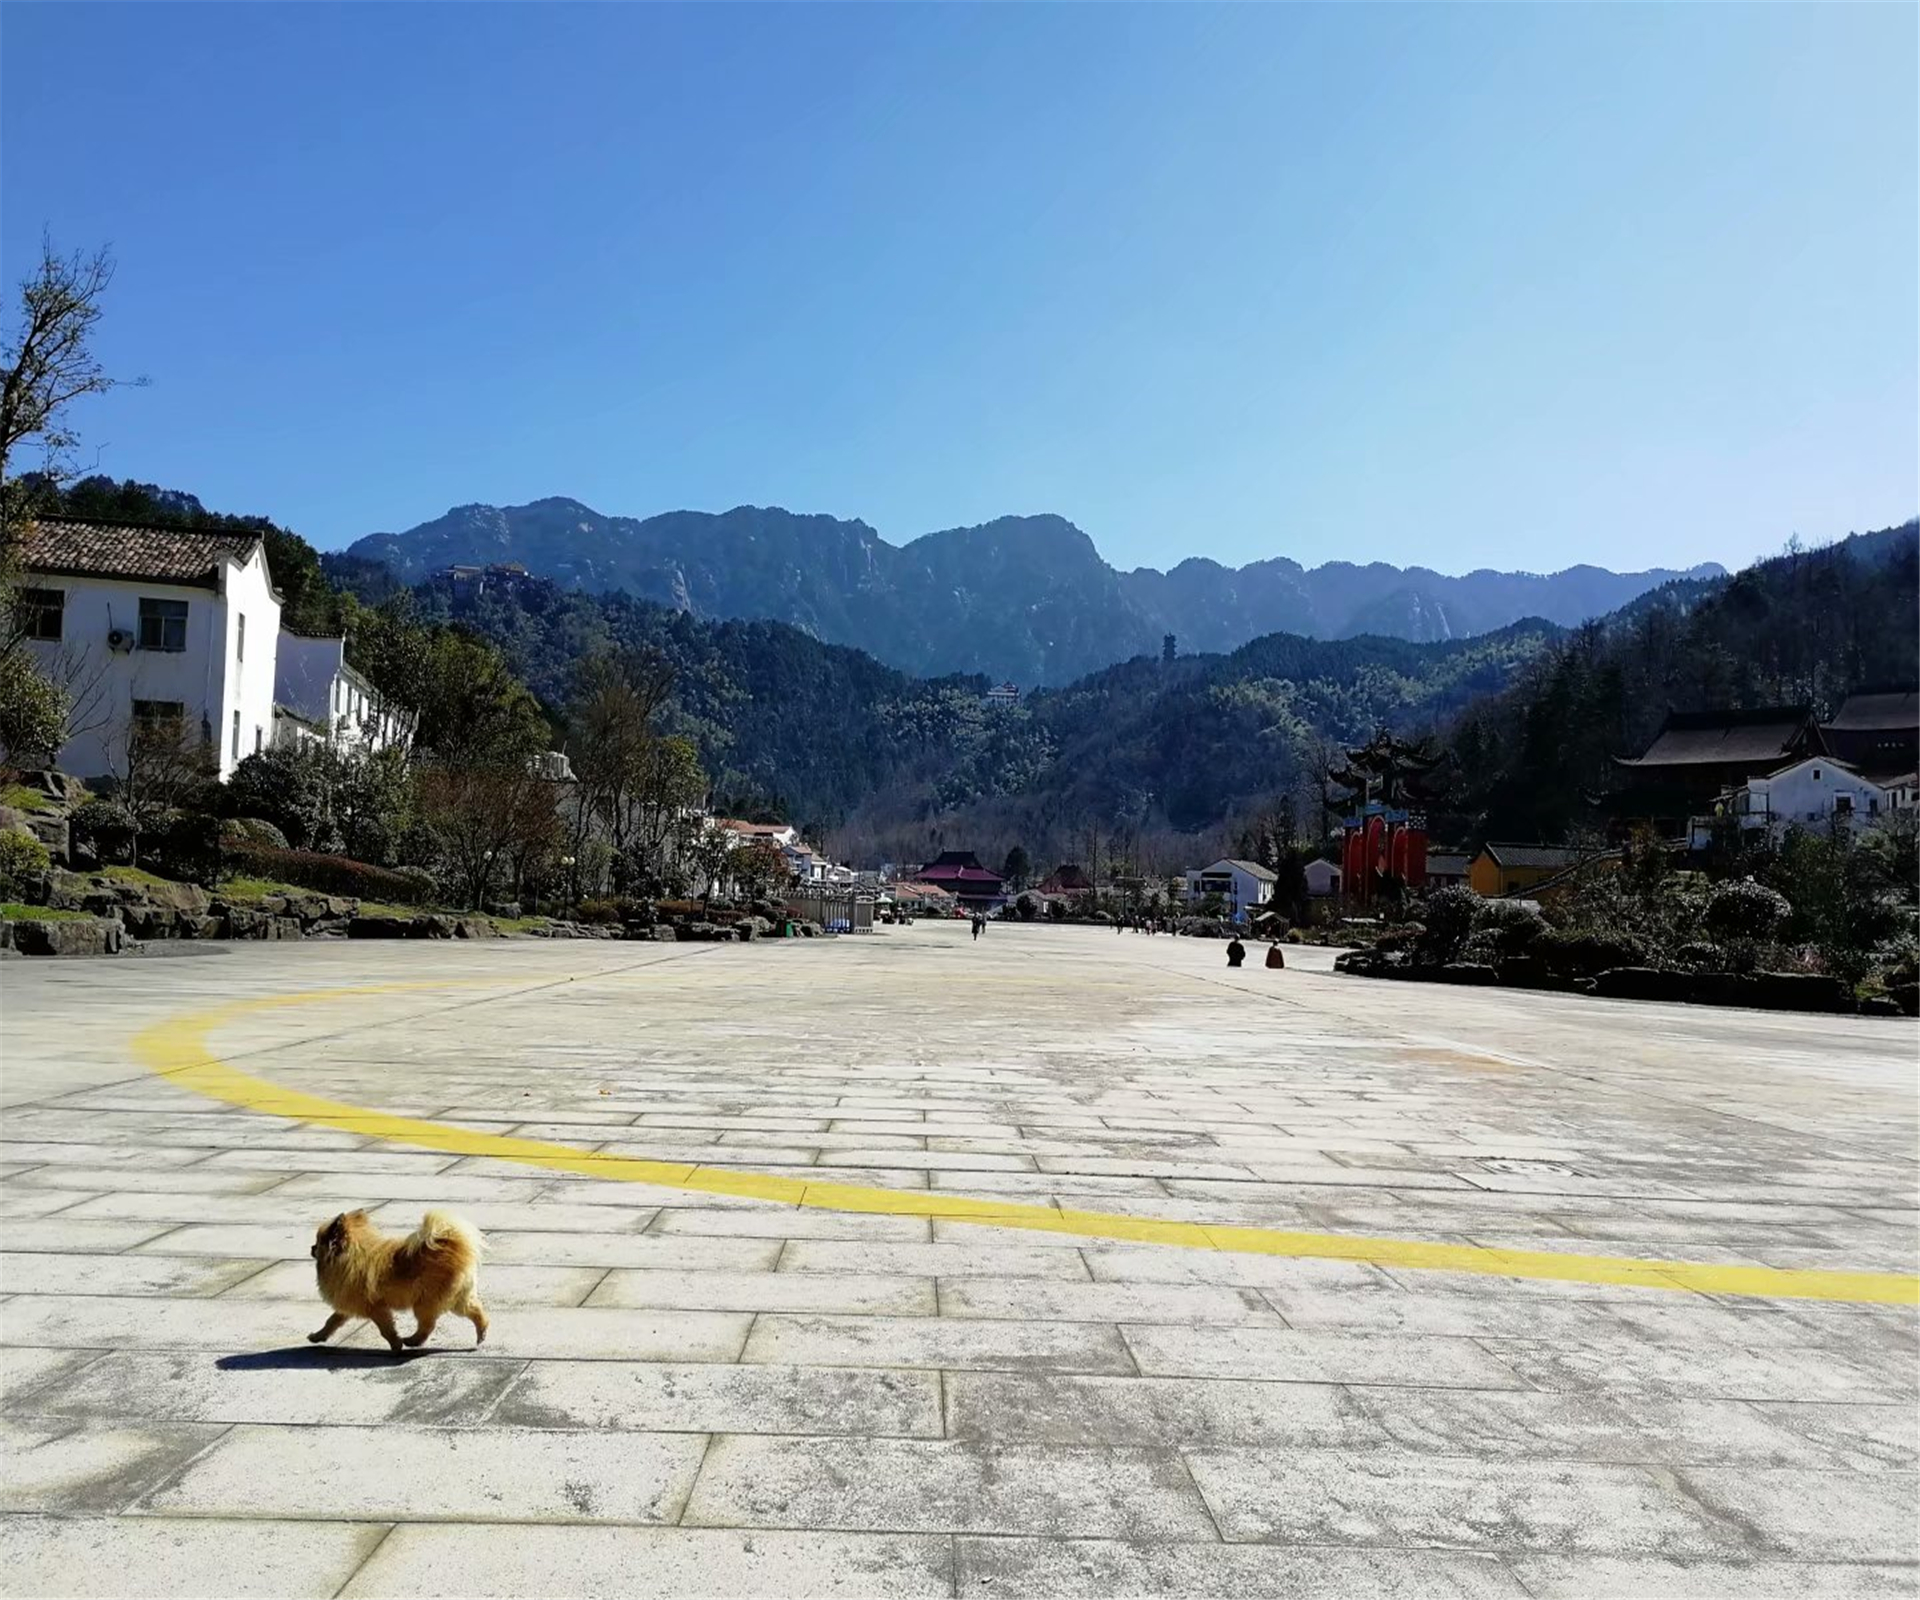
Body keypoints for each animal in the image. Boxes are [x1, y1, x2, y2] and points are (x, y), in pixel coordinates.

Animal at [305, 1213, 487, 1352]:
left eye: (318, 1243)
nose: (311, 1247)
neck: (349, 1258)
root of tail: (453, 1245)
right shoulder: (349, 1306)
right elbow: (332, 1321)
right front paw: (318, 1336)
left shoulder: (376, 1309)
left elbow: (386, 1329)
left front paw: (396, 1345)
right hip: (457, 1300)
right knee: (475, 1312)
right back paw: (481, 1332)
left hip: (425, 1303)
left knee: (427, 1325)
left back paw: (413, 1340)